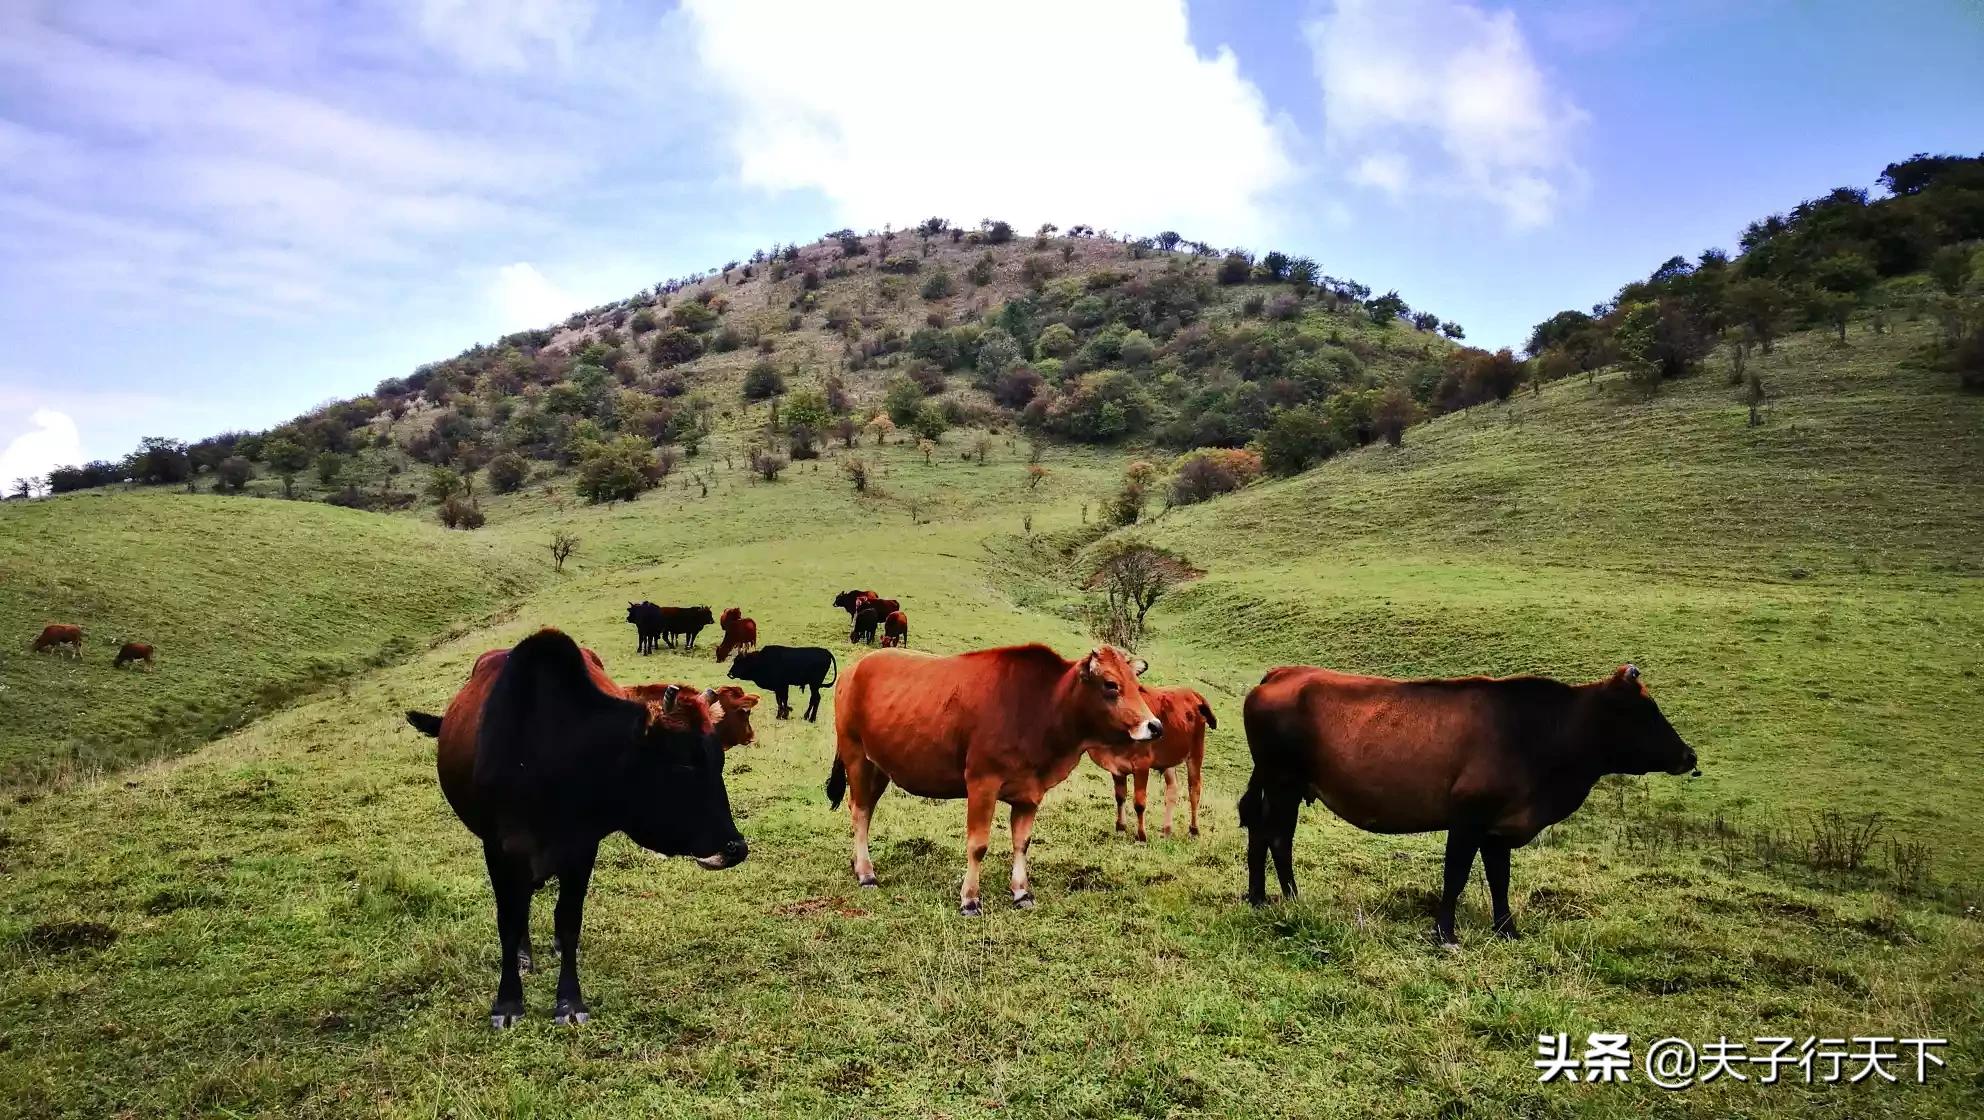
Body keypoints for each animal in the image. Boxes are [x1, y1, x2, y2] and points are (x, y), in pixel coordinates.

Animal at [402, 626, 745, 1022]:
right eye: (684, 764)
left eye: (720, 760)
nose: (736, 848)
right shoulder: (498, 848)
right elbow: (508, 919)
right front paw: (508, 1001)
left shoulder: (582, 848)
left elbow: (568, 920)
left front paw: (568, 1000)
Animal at [825, 642, 1158, 911]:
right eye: (1111, 684)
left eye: (1137, 684)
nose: (1154, 726)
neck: (1043, 706)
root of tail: (856, 667)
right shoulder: (982, 783)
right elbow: (978, 844)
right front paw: (970, 898)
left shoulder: (1030, 793)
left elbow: (1022, 842)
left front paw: (1021, 892)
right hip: (856, 757)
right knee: (860, 811)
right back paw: (866, 872)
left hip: (880, 766)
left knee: (863, 809)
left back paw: (858, 863)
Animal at [1095, 681, 1214, 840]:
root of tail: (1193, 693)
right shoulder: (1117, 767)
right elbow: (1120, 797)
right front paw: (1120, 827)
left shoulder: (1142, 766)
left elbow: (1139, 803)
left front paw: (1141, 836)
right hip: (1169, 759)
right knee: (1172, 790)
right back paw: (1166, 829)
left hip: (1196, 753)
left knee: (1194, 790)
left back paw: (1194, 830)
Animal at [1238, 662, 1690, 943]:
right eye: (1644, 711)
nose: (1690, 755)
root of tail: (1282, 673)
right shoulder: (1467, 818)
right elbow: (1455, 876)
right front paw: (1445, 934)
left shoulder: (1498, 828)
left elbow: (1499, 879)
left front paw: (1507, 930)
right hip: (1282, 781)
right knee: (1278, 837)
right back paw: (1291, 899)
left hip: (1278, 784)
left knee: (1260, 831)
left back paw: (1259, 897)